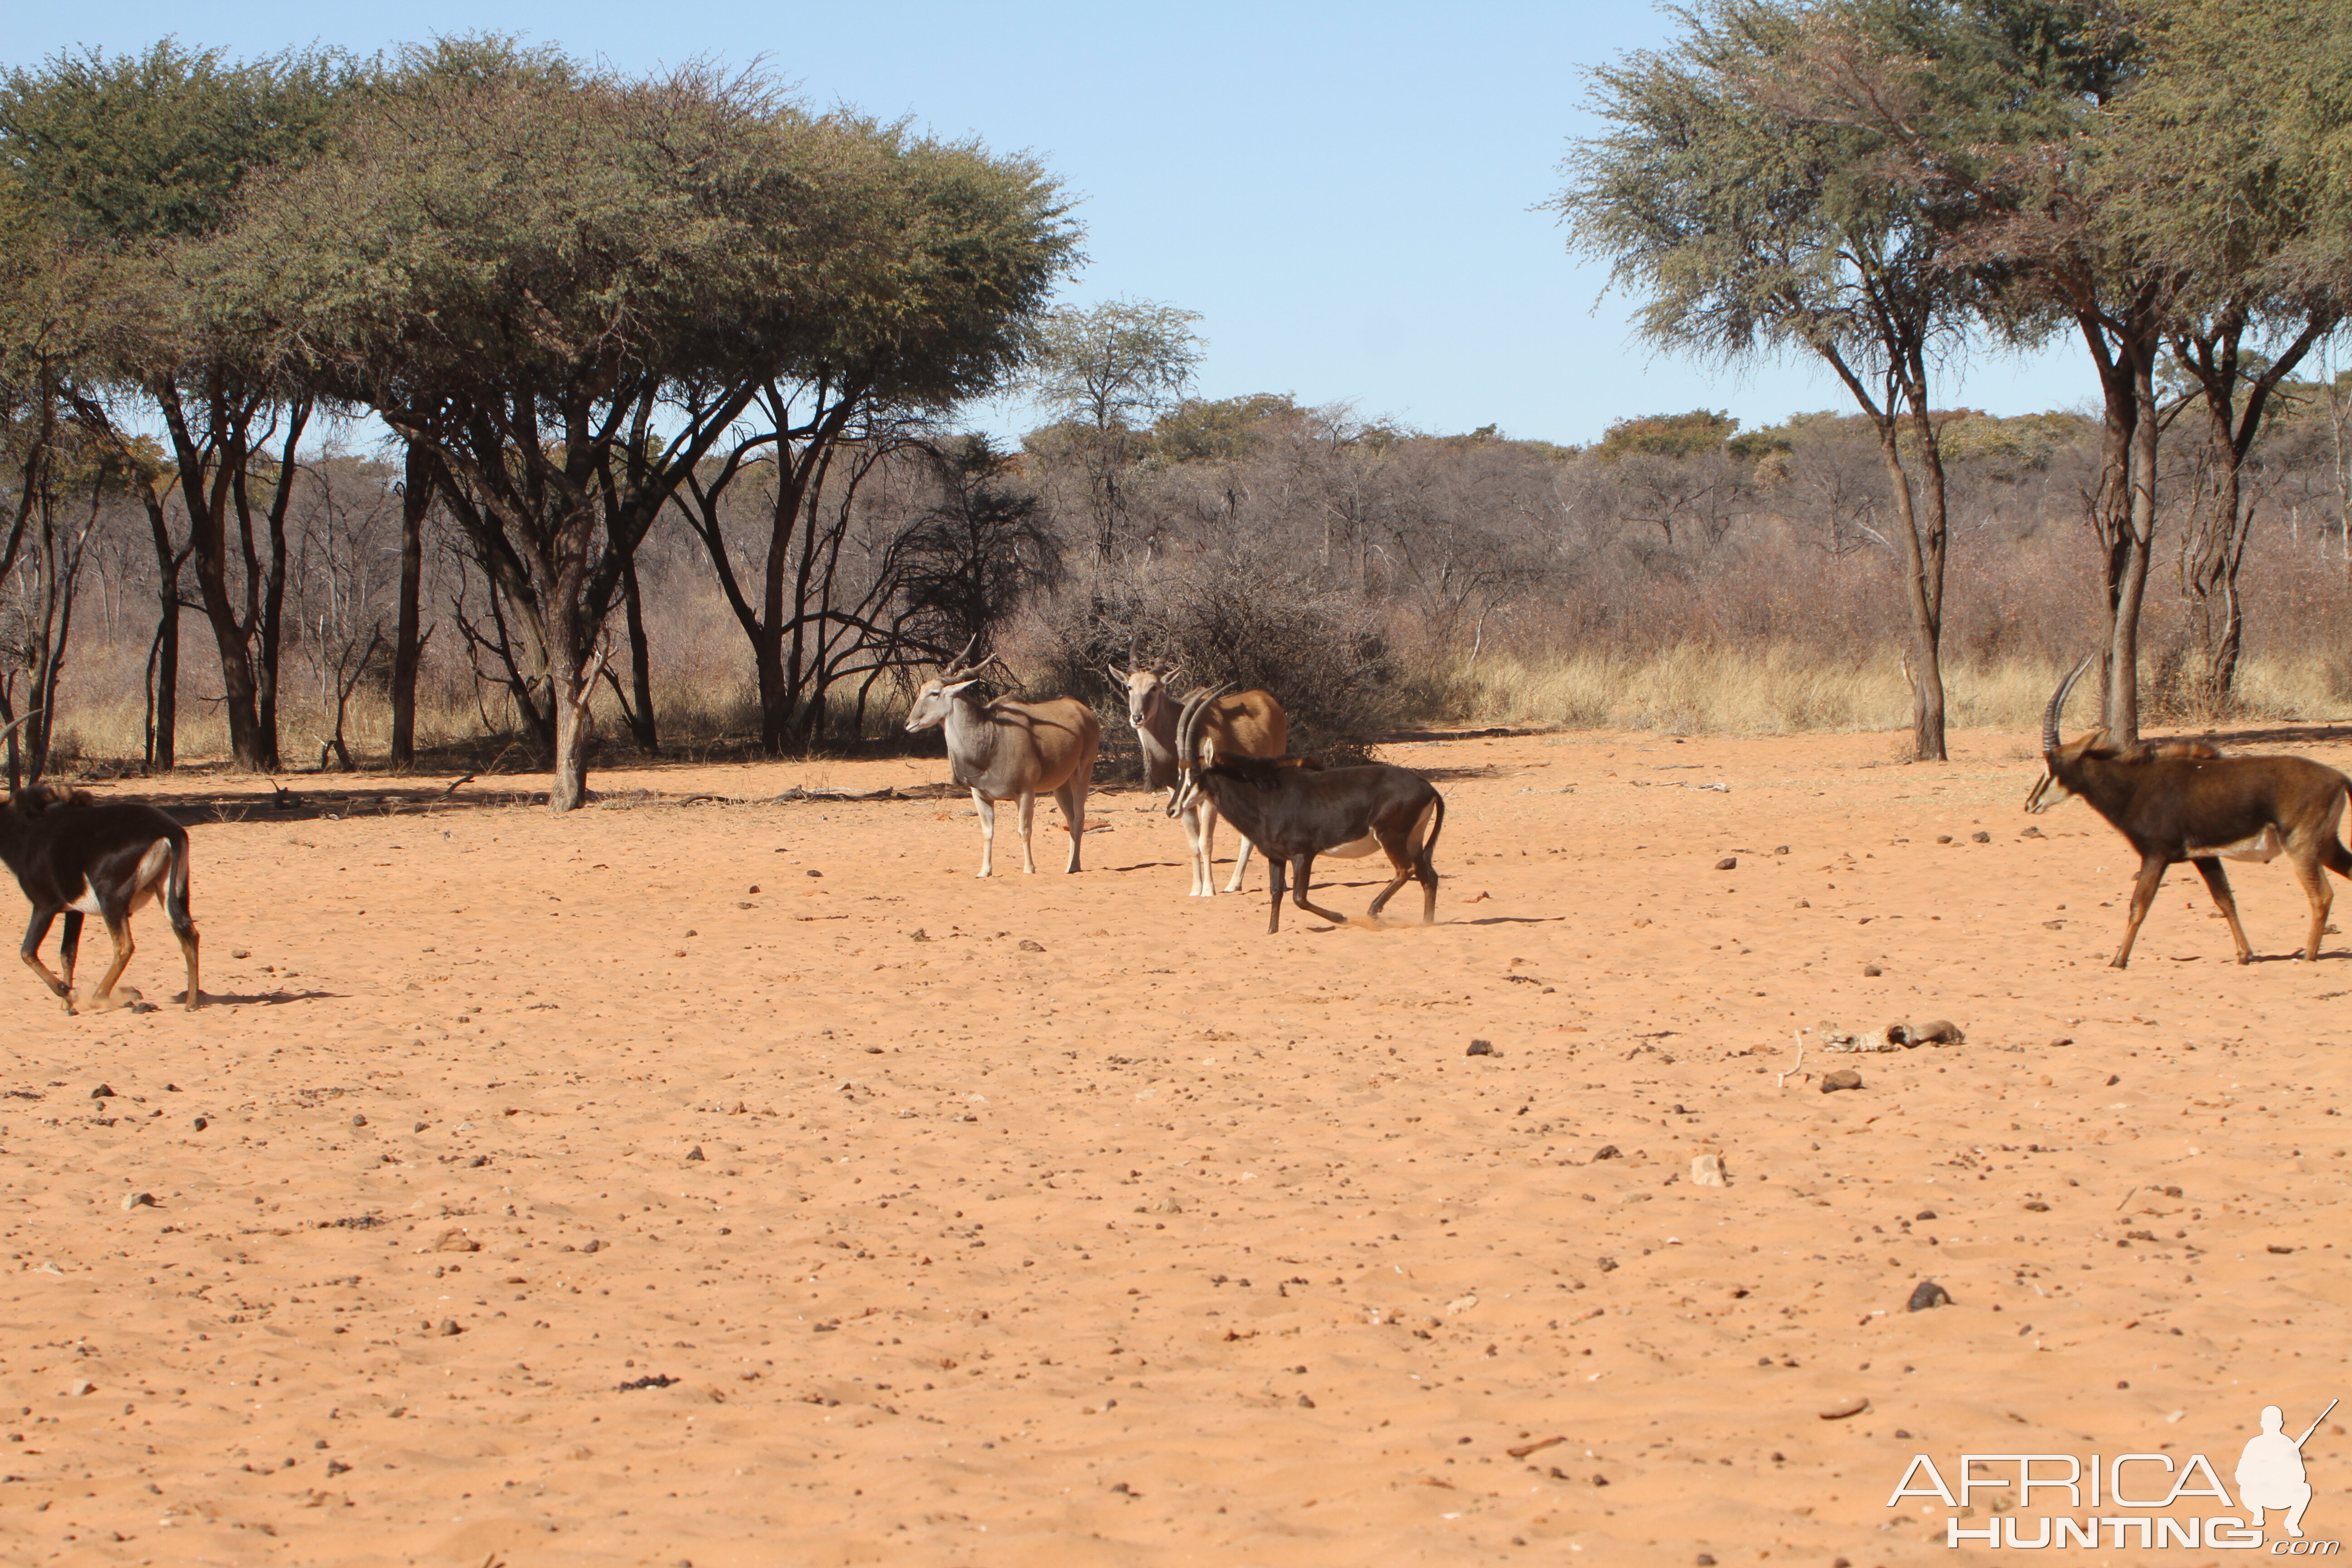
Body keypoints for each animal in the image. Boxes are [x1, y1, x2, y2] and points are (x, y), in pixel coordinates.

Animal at [0, 719, 202, 1011]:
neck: (27, 830)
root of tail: (169, 833)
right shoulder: (74, 911)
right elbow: (68, 953)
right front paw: (67, 1007)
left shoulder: (45, 906)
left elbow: (27, 952)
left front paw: (67, 994)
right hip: (171, 890)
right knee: (188, 932)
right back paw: (191, 1002)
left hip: (111, 899)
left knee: (124, 946)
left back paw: (99, 996)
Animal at [908, 639, 1110, 884]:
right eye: (922, 690)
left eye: (935, 693)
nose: (909, 723)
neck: (991, 737)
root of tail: (1085, 712)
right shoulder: (981, 796)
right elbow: (988, 832)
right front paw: (984, 871)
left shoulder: (1025, 792)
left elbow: (1024, 830)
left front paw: (1029, 868)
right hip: (1060, 785)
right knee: (1071, 818)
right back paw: (1072, 865)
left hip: (1083, 772)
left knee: (1079, 817)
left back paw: (1073, 866)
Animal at [1105, 667, 1298, 902]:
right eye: (1129, 687)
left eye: (1154, 688)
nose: (1137, 718)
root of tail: (1265, 697)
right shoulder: (1182, 800)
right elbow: (1193, 843)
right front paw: (1196, 888)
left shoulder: (1210, 802)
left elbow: (1205, 842)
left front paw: (1208, 889)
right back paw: (1234, 884)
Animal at [1166, 686, 1439, 931]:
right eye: (1180, 771)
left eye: (1195, 773)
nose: (1172, 810)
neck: (1264, 794)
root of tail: (1428, 788)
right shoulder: (1276, 857)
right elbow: (1276, 894)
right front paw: (1272, 933)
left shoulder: (1303, 854)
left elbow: (1299, 898)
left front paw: (1341, 918)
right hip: (1412, 841)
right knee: (1428, 876)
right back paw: (1427, 923)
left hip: (1390, 837)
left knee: (1406, 870)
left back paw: (1374, 910)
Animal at [2023, 653, 2352, 968]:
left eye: (2052, 764)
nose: (2030, 804)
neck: (2136, 785)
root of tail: (2339, 778)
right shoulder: (2205, 857)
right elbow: (2225, 900)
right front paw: (2245, 955)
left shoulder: (2156, 855)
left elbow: (2138, 906)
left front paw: (2118, 961)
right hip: (2326, 846)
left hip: (2301, 847)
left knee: (2322, 896)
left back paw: (2308, 956)